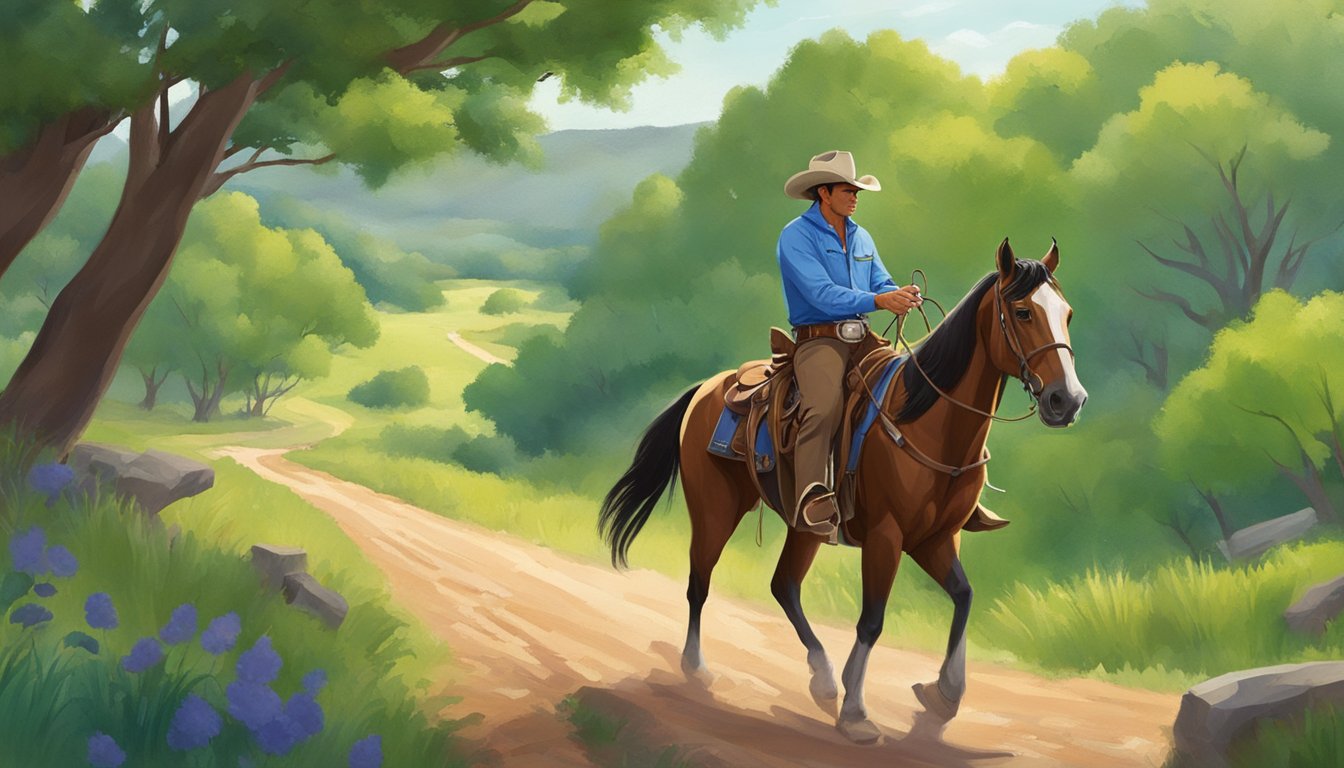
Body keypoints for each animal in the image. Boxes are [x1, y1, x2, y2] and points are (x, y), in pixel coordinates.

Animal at [604, 242, 1085, 747]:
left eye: (1067, 313)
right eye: (1022, 312)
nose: (1067, 400)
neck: (925, 422)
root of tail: (708, 388)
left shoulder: (936, 538)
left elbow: (964, 596)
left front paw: (942, 695)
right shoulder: (885, 537)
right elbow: (872, 619)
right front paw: (856, 713)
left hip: (806, 524)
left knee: (784, 586)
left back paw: (821, 678)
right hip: (715, 509)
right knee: (700, 582)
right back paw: (696, 668)